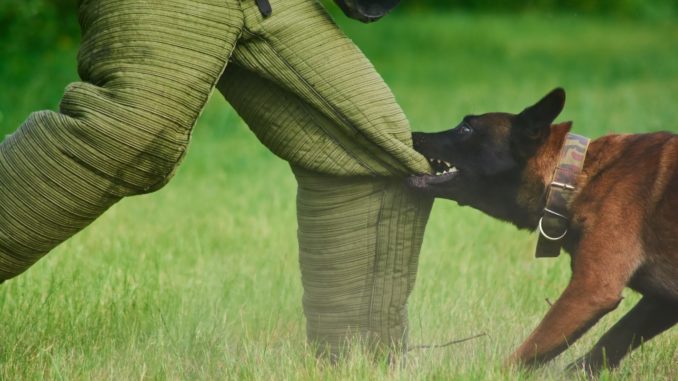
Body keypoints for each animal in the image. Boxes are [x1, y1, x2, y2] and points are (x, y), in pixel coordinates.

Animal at [410, 88, 678, 372]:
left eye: (465, 129)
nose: (412, 135)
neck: (573, 177)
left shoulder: (591, 289)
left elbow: (529, 350)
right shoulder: (663, 302)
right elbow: (612, 340)